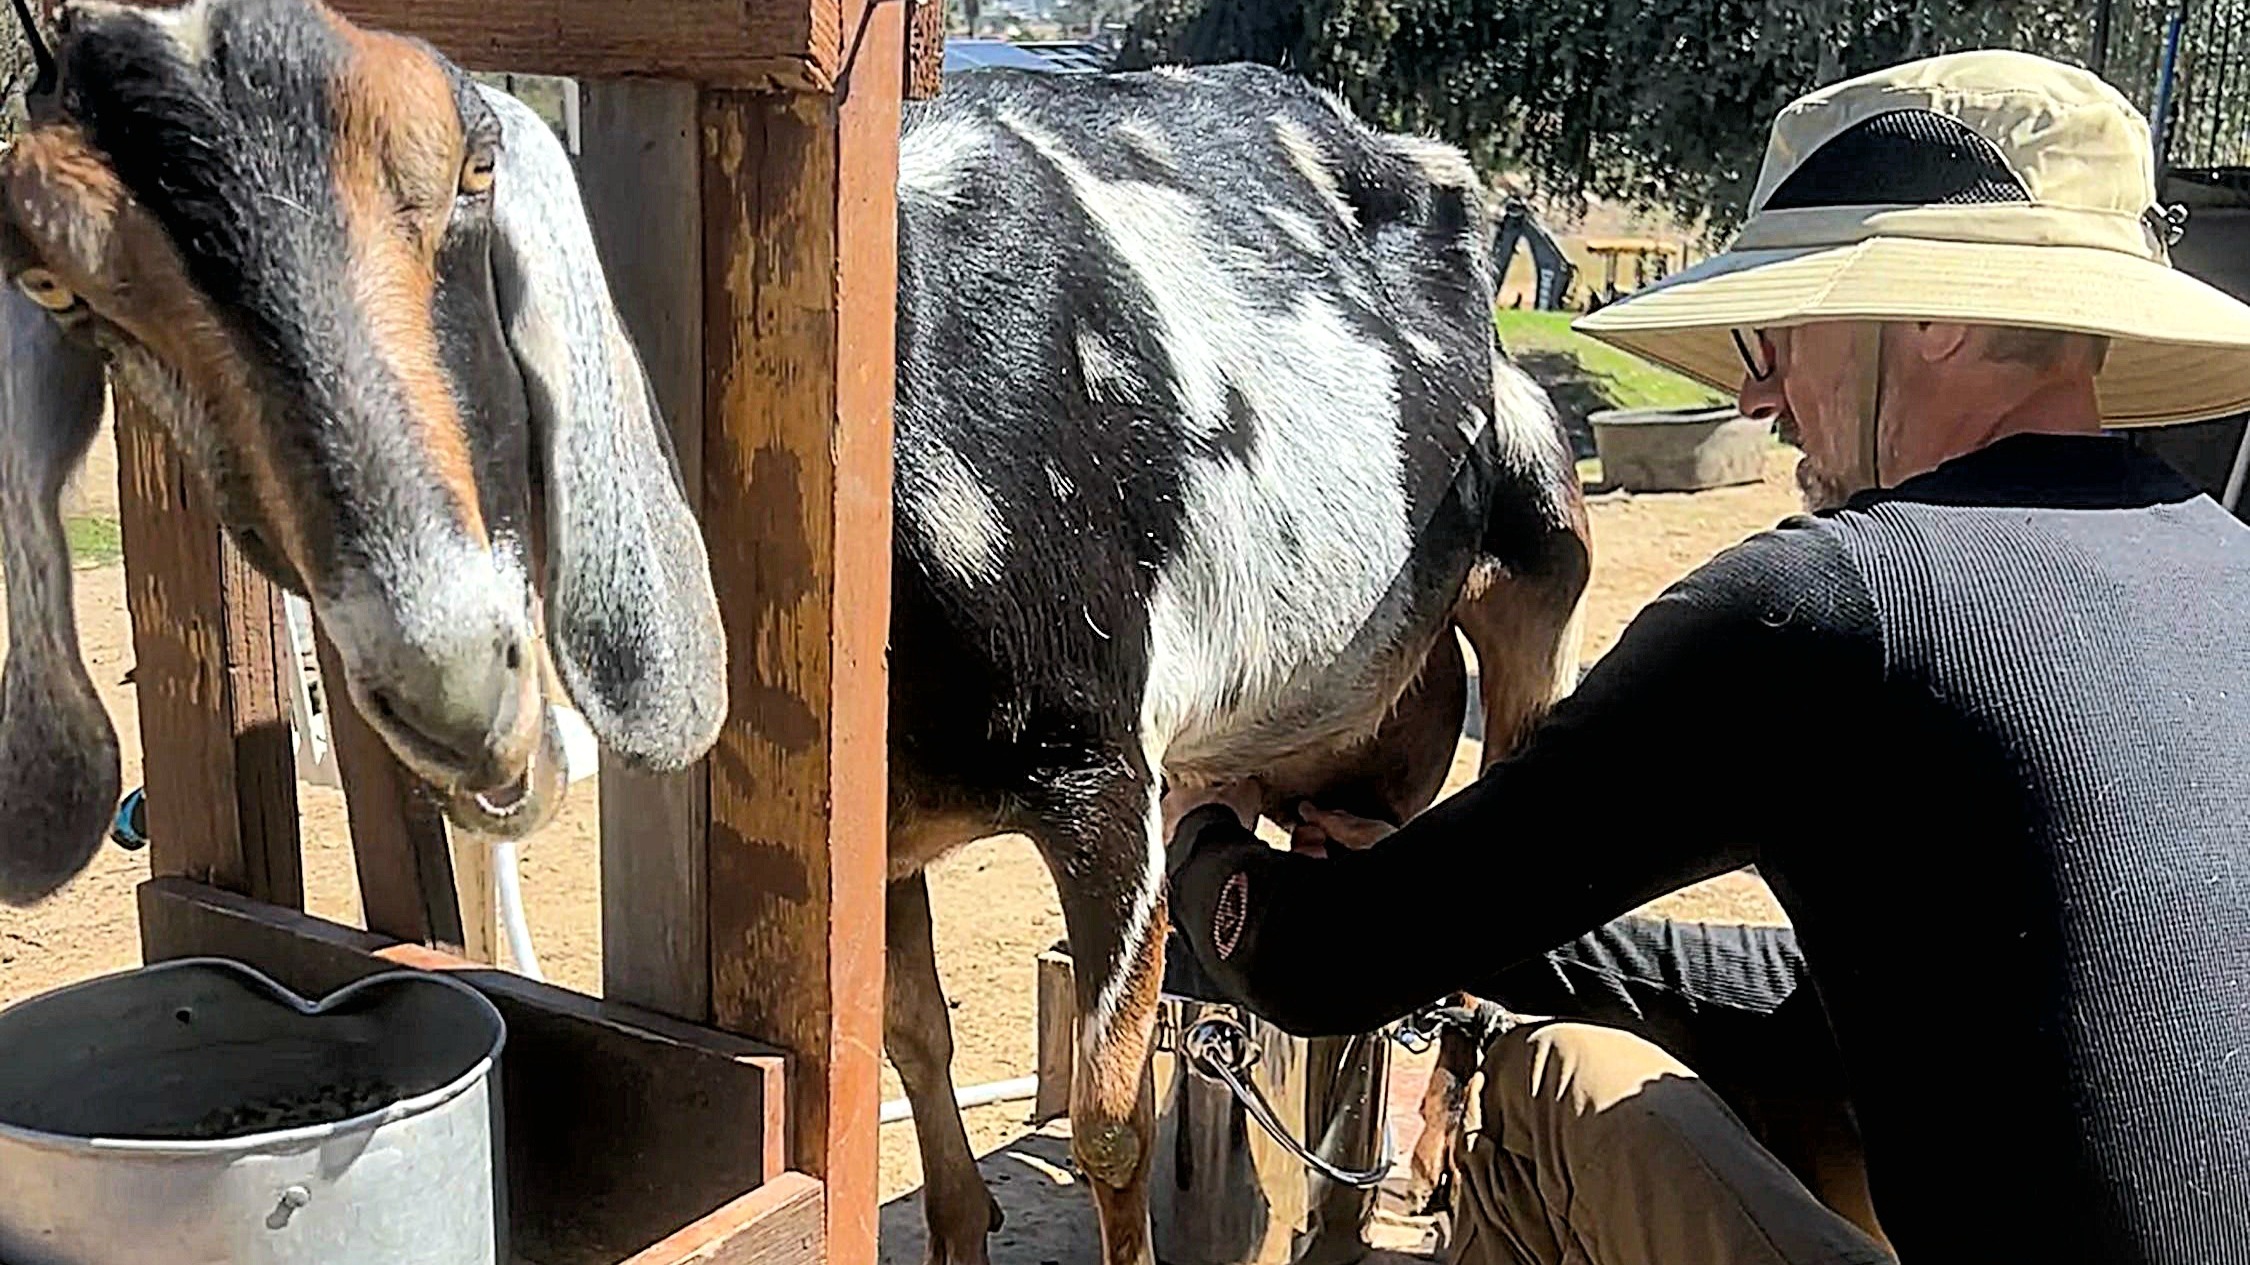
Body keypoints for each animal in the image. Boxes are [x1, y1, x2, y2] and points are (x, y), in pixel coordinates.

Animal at [0, 5, 1590, 1262]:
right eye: (60, 284)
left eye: (466, 170)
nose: (445, 665)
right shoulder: (889, 824)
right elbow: (911, 1040)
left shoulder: (1107, 776)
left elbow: (1108, 1118)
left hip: (1535, 562)